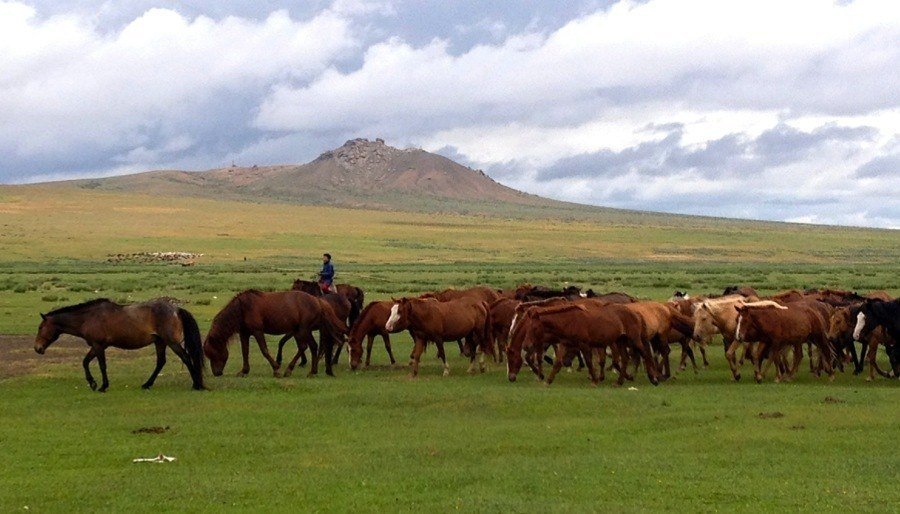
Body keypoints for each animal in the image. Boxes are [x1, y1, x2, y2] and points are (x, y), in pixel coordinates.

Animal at [33, 298, 205, 392]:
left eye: (40, 327)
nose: (37, 348)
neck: (88, 318)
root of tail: (176, 309)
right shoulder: (96, 346)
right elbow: (85, 362)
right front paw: (92, 383)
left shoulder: (98, 345)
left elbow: (102, 365)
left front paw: (102, 386)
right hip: (160, 342)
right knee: (161, 362)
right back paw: (146, 384)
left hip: (171, 342)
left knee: (185, 358)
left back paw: (196, 384)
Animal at [203, 290, 347, 378]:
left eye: (213, 353)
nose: (216, 373)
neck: (242, 308)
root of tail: (318, 301)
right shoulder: (244, 333)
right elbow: (245, 351)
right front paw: (244, 371)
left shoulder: (257, 331)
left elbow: (264, 350)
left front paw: (276, 369)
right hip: (303, 330)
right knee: (312, 346)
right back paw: (312, 371)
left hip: (303, 330)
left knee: (304, 347)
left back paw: (290, 370)